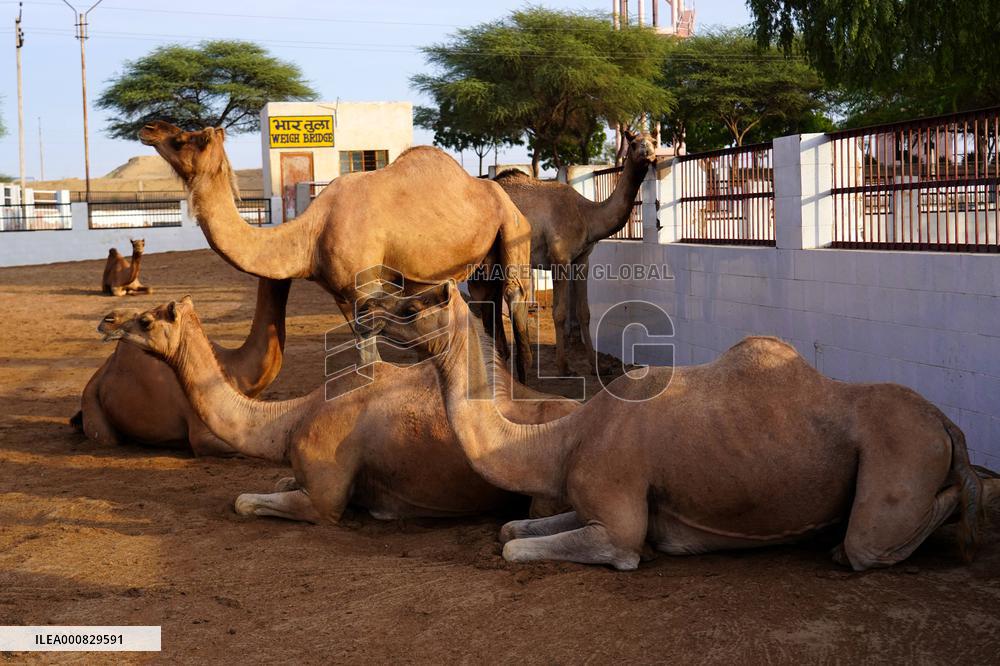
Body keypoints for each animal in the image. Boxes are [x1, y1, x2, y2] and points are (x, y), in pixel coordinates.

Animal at [110, 296, 578, 522]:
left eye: (147, 320)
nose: (108, 321)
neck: (291, 419)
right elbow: (278, 482)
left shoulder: (325, 498)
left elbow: (244, 501)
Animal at [138, 121, 534, 381]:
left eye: (184, 139)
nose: (148, 127)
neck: (310, 235)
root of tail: (495, 190)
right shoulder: (341, 294)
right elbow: (364, 355)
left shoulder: (366, 290)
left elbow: (370, 357)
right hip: (482, 261)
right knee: (487, 299)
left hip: (514, 229)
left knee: (514, 294)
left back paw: (525, 378)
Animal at [358, 282, 994, 571]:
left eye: (412, 305)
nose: (366, 310)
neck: (561, 442)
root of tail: (946, 423)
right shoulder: (588, 500)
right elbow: (512, 528)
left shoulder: (618, 527)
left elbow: (520, 548)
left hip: (901, 455)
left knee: (869, 542)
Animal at [495, 130, 656, 375]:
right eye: (634, 144)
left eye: (654, 141)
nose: (648, 153)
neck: (586, 215)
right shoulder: (559, 259)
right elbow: (560, 313)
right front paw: (563, 366)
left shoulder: (582, 260)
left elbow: (584, 313)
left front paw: (596, 366)